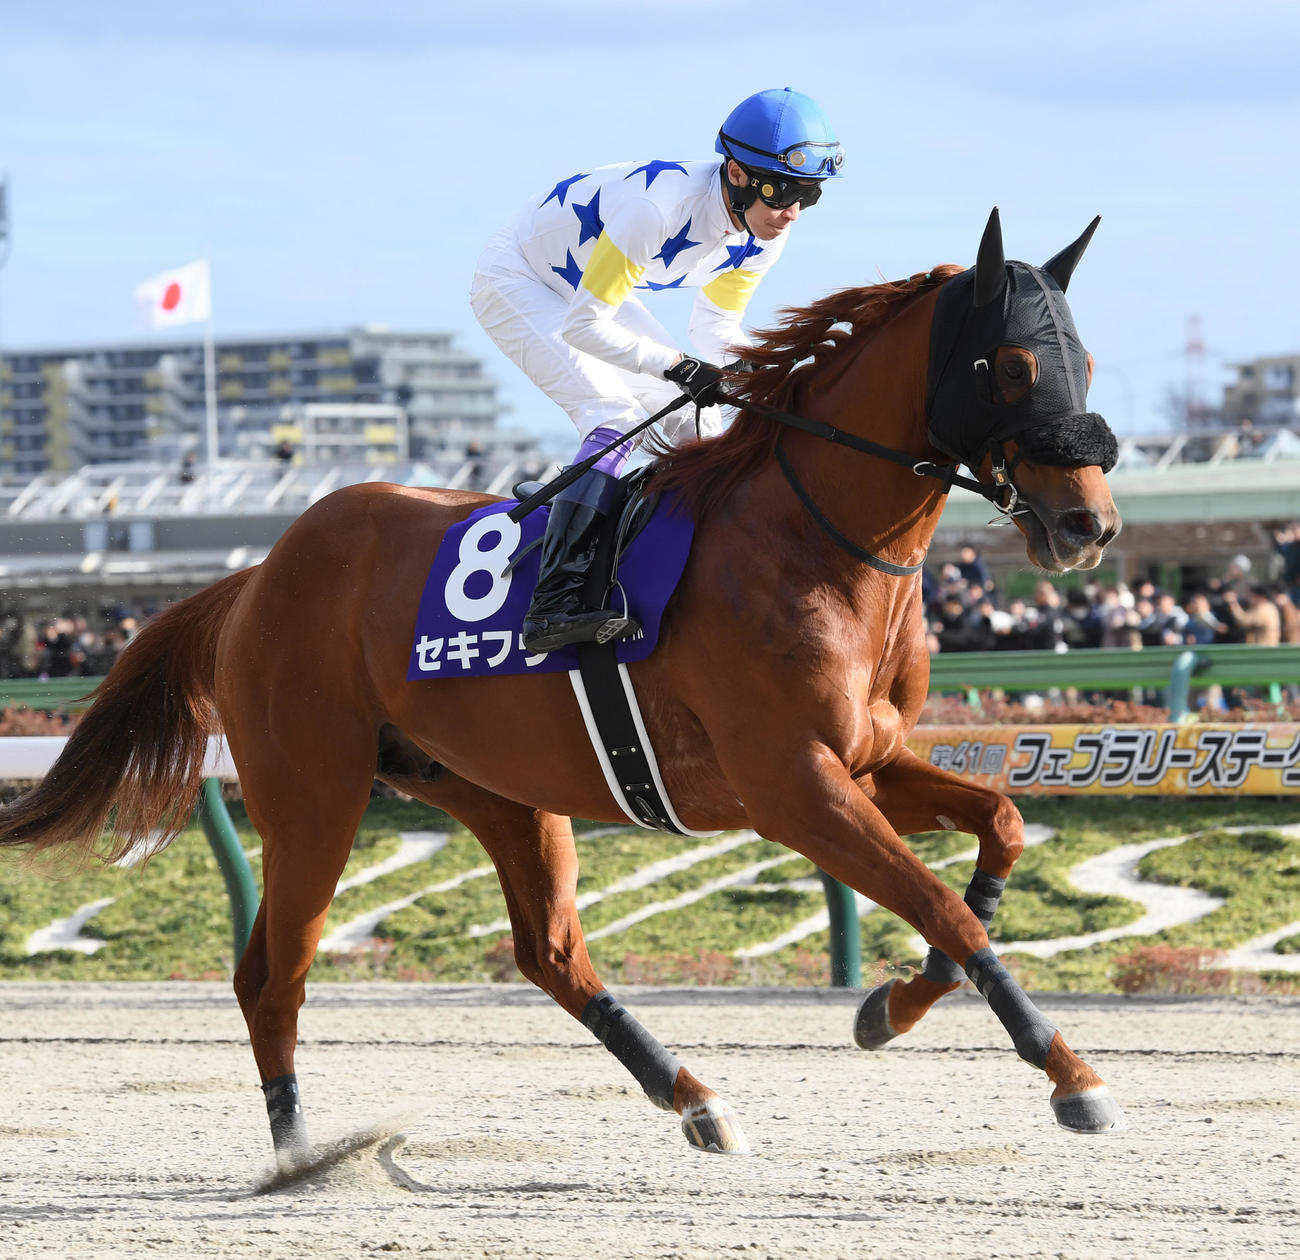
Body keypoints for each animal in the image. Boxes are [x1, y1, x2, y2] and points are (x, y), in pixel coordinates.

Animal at [0, 209, 1123, 1170]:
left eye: (1086, 360)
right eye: (1012, 364)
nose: (1090, 523)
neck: (812, 543)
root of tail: (256, 574)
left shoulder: (868, 759)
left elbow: (999, 832)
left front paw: (890, 1007)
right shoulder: (791, 785)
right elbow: (943, 906)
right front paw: (1071, 1075)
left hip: (492, 788)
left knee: (546, 953)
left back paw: (694, 1100)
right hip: (310, 794)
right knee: (273, 973)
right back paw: (297, 1155)